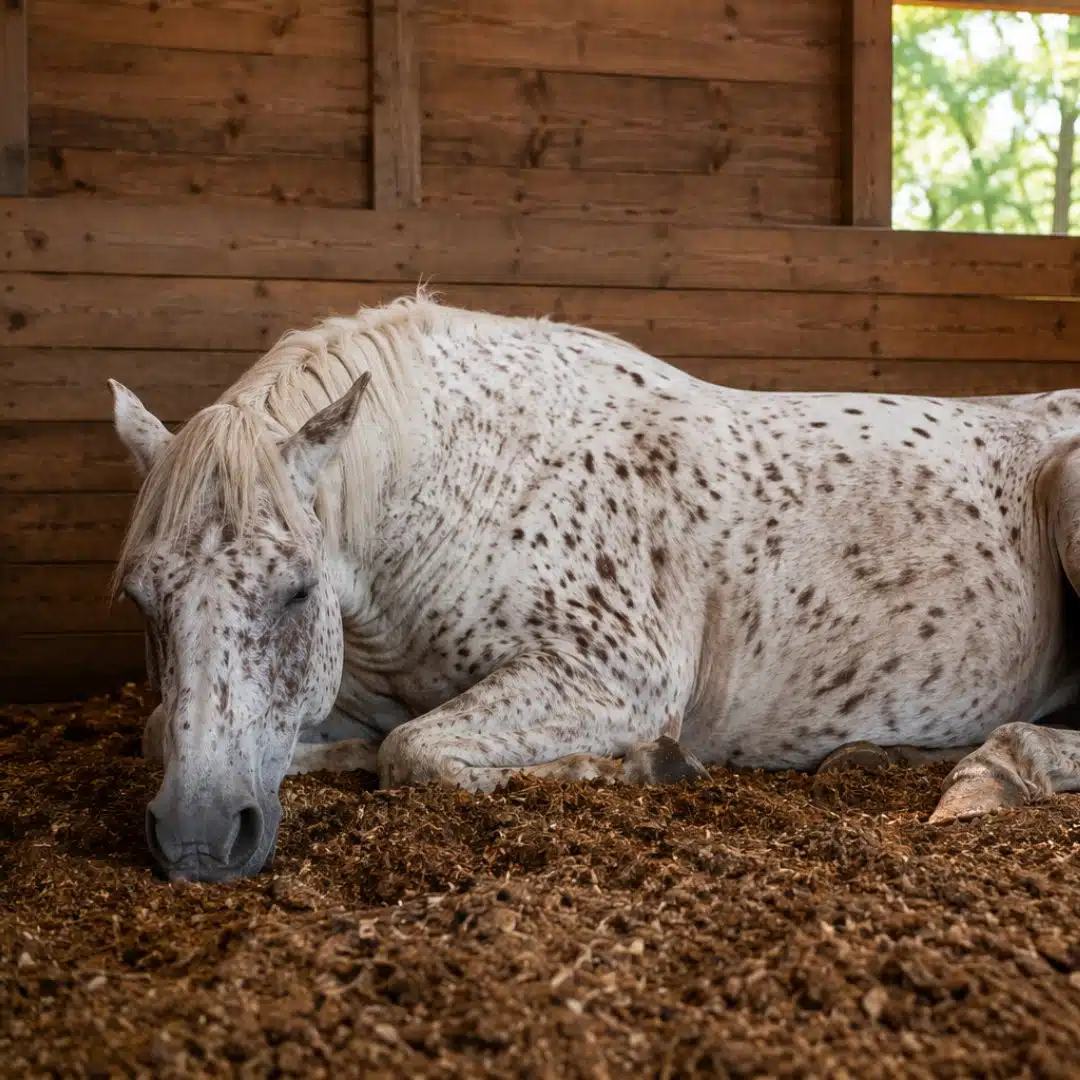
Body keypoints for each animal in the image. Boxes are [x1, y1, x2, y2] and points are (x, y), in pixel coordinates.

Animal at [108, 291, 1080, 883]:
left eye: (297, 592)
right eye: (142, 601)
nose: (198, 840)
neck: (475, 483)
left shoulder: (613, 678)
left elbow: (415, 752)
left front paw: (632, 766)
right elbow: (170, 731)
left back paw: (995, 773)